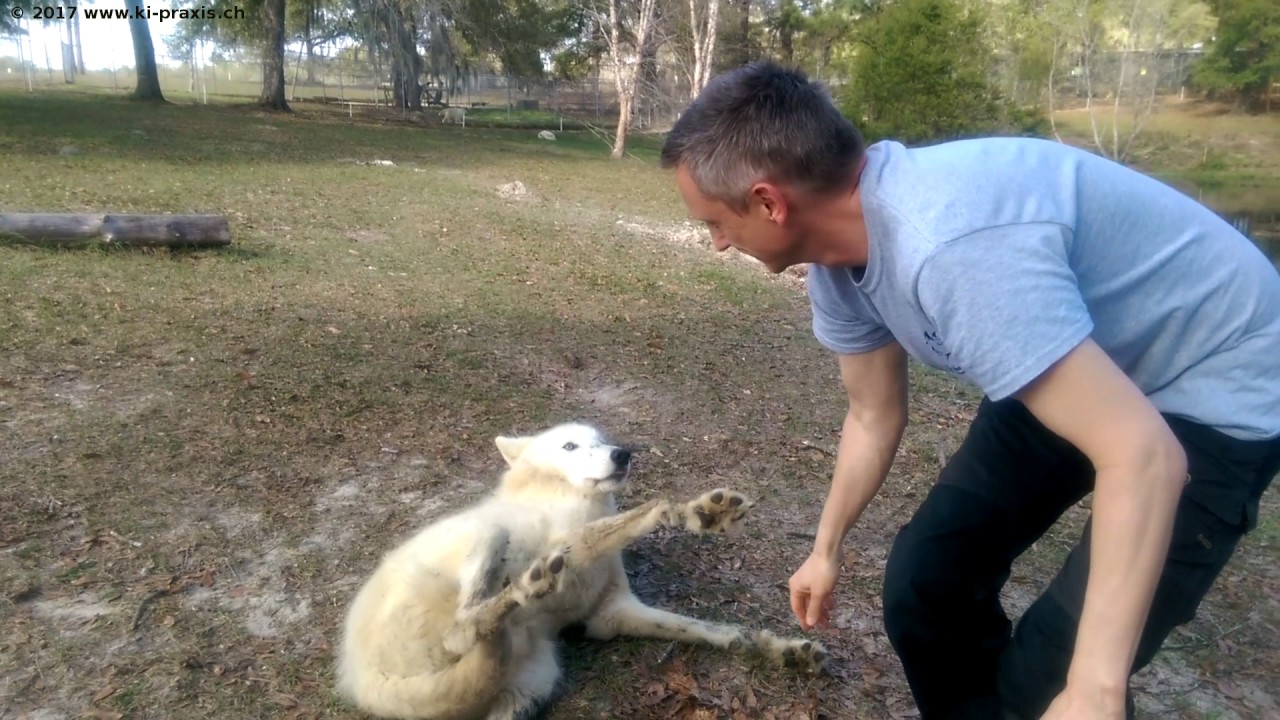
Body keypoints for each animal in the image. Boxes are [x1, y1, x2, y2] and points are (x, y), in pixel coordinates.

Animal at [335, 421, 828, 720]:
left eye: (602, 440)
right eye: (570, 446)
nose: (623, 454)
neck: (565, 495)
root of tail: (361, 677)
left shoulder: (613, 613)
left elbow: (707, 629)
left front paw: (777, 648)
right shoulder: (567, 543)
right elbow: (638, 515)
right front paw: (695, 513)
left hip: (533, 683)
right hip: (489, 535)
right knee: (461, 629)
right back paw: (524, 588)